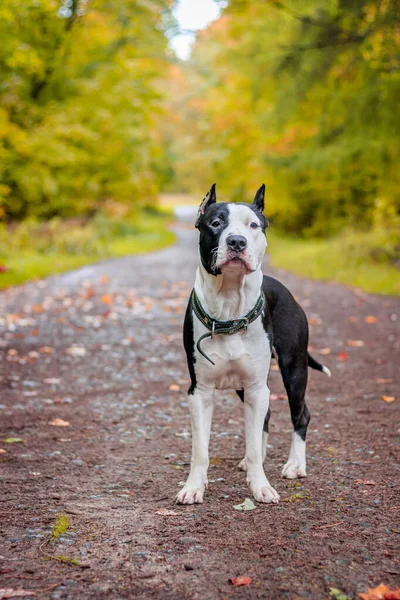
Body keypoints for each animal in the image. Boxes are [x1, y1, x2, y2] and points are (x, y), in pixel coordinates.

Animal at [177, 185, 330, 504]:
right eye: (215, 223)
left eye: (253, 225)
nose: (237, 241)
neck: (229, 307)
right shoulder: (200, 392)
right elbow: (200, 449)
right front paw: (194, 486)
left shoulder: (259, 387)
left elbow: (256, 439)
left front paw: (261, 486)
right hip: (244, 386)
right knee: (267, 417)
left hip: (294, 368)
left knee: (301, 414)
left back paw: (295, 465)